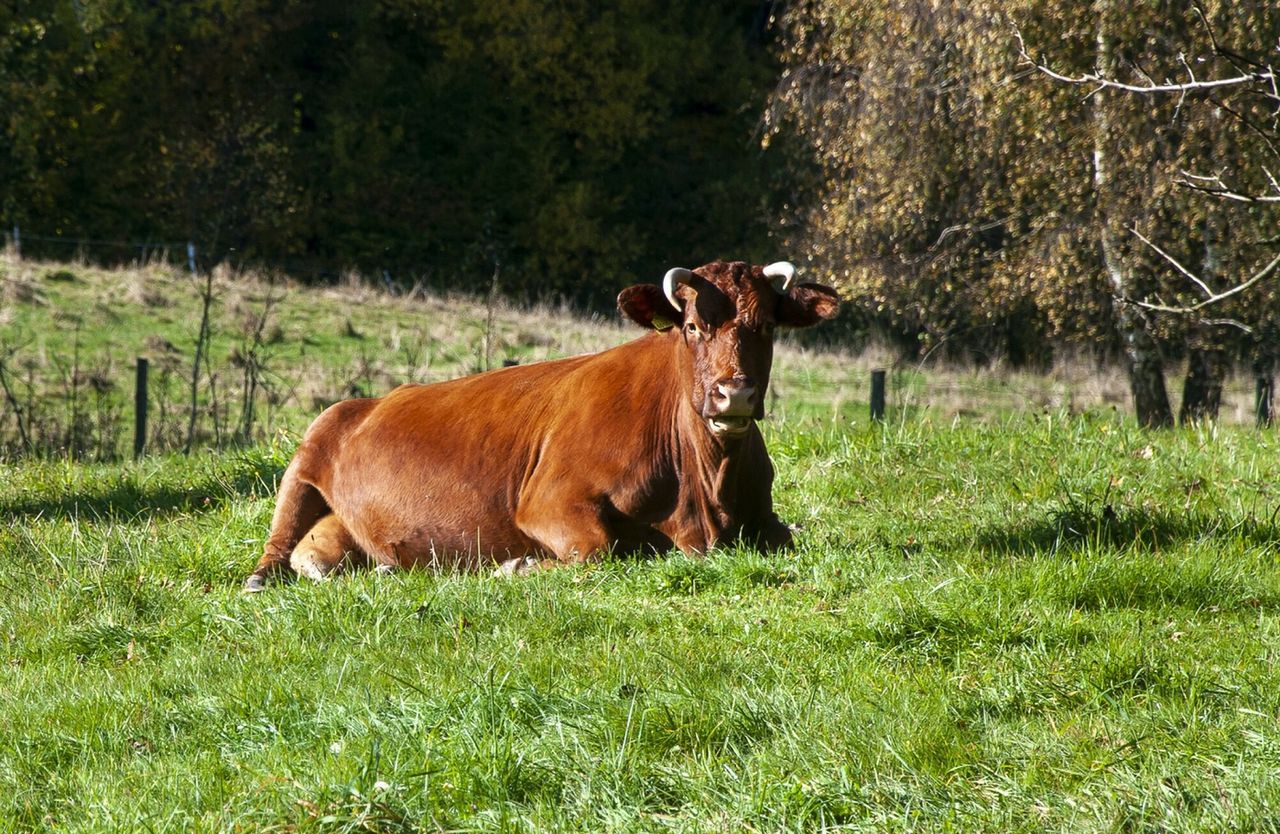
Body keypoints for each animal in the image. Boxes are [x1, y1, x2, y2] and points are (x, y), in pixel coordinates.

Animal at [241, 257, 839, 588]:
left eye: (768, 326)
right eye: (692, 326)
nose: (733, 392)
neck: (704, 497)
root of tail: (365, 402)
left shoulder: (764, 517)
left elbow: (793, 536)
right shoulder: (548, 500)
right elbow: (599, 548)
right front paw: (517, 568)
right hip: (306, 458)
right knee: (279, 545)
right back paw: (260, 578)